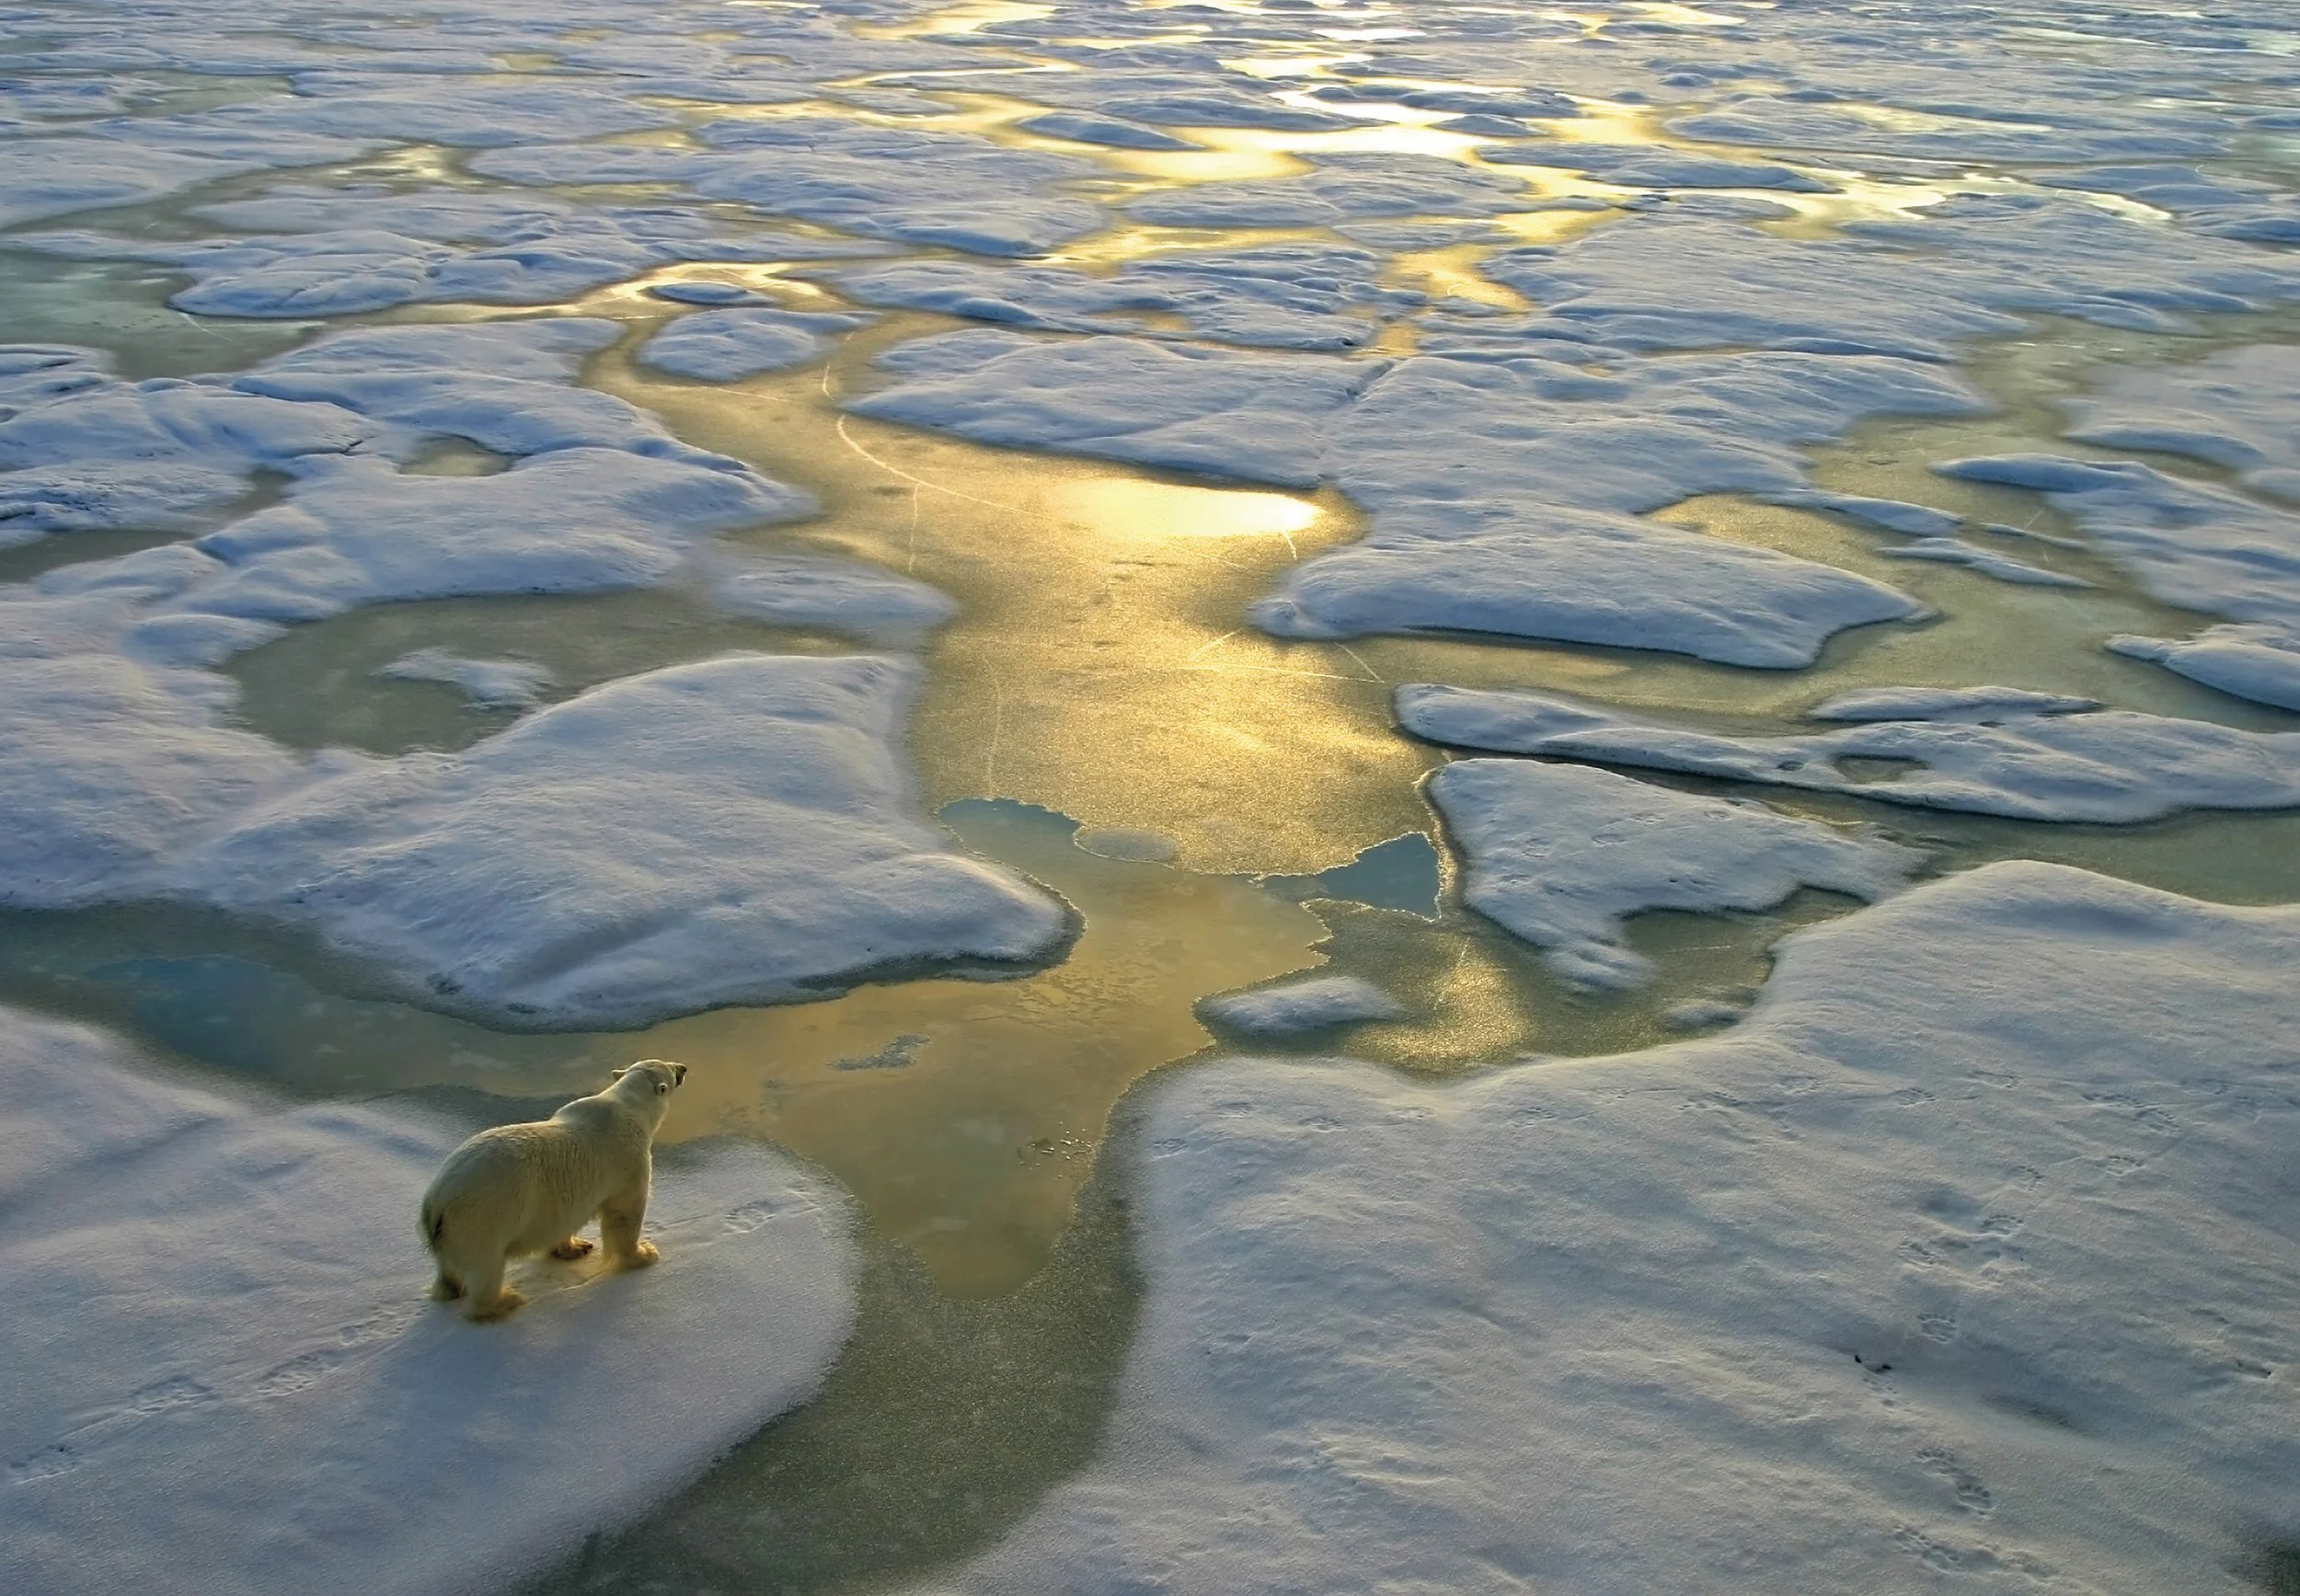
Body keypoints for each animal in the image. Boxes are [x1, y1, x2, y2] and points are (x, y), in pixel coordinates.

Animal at [419, 1059, 689, 1323]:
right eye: (671, 1069)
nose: (683, 1067)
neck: (627, 1105)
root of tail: (437, 1202)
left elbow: (564, 1220)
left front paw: (576, 1247)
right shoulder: (629, 1161)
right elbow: (626, 1213)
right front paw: (644, 1254)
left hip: (451, 1232)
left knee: (448, 1268)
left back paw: (452, 1289)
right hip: (484, 1219)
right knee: (486, 1269)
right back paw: (505, 1302)